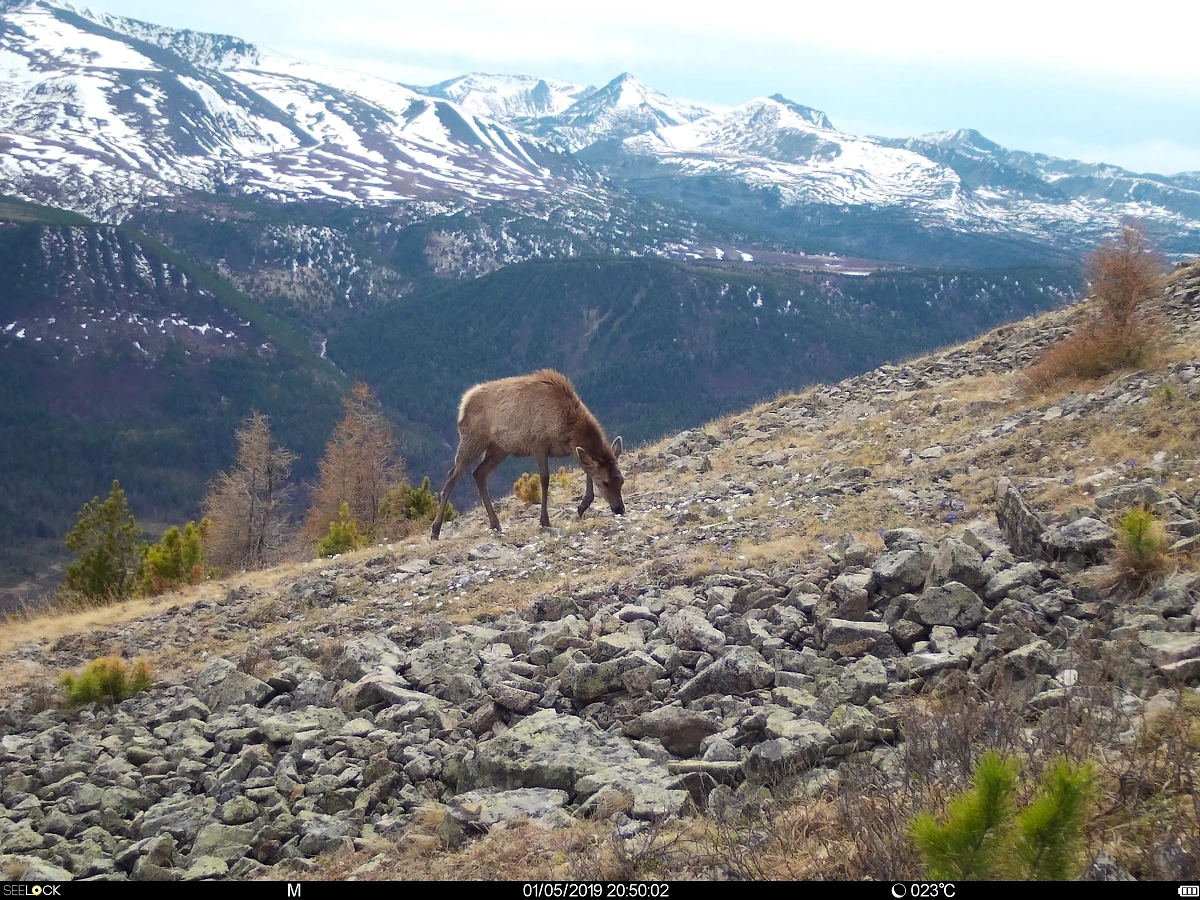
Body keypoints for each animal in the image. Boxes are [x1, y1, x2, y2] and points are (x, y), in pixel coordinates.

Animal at [432, 367, 628, 540]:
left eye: (621, 480)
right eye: (605, 482)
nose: (620, 509)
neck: (567, 427)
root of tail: (463, 405)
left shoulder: (571, 449)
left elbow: (587, 469)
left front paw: (582, 506)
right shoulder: (539, 443)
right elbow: (545, 479)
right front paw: (545, 520)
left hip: (499, 448)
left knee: (478, 473)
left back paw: (495, 523)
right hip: (473, 440)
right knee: (452, 476)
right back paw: (435, 530)